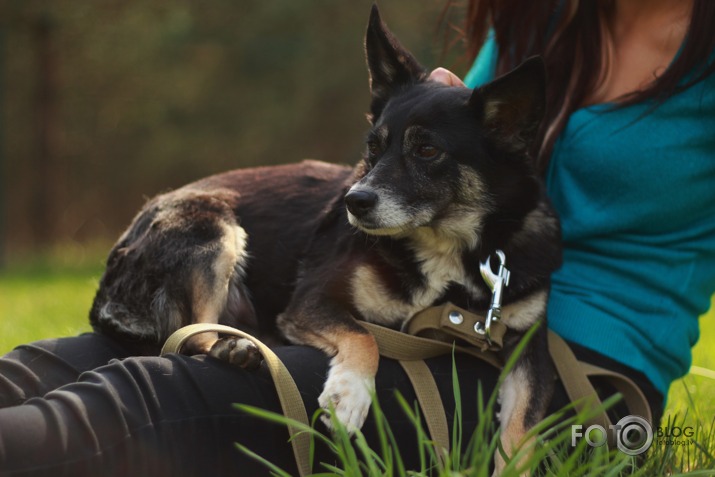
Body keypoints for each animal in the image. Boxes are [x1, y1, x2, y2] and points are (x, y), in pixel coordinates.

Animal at [89, 5, 564, 470]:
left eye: (428, 150)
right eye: (373, 147)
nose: (355, 201)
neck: (447, 249)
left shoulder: (528, 352)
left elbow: (522, 432)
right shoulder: (312, 301)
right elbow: (364, 335)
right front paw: (349, 395)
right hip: (212, 230)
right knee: (188, 337)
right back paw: (233, 348)